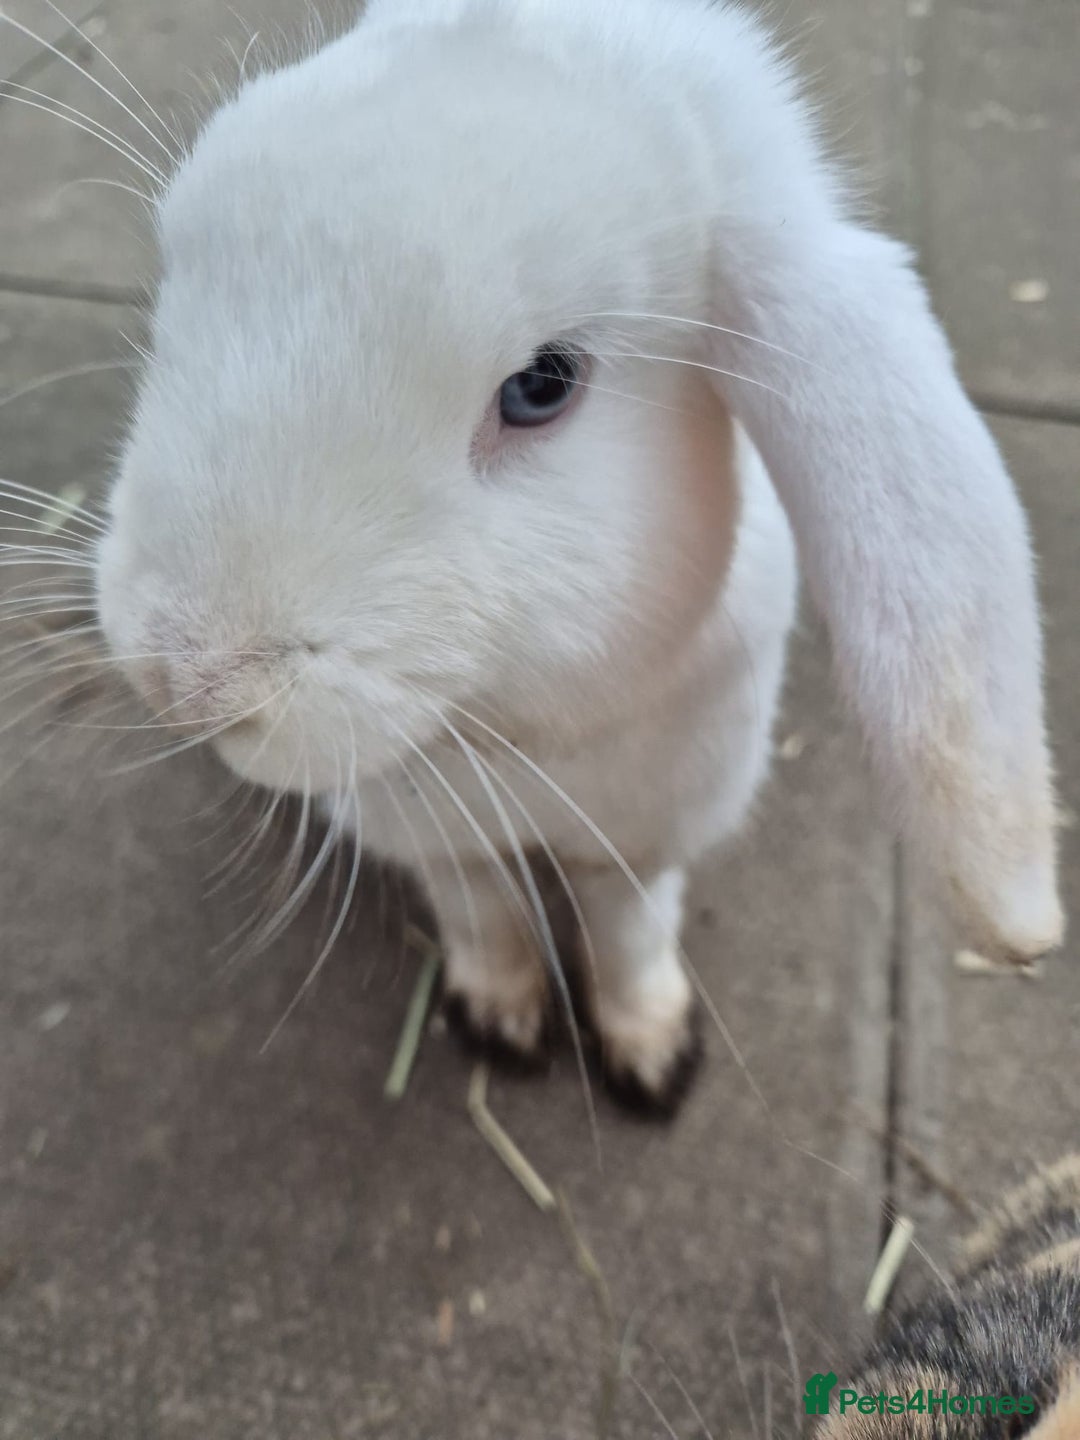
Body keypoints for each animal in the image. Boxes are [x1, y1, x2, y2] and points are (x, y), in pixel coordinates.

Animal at [94, 0, 1063, 1110]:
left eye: (541, 387)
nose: (187, 681)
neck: (510, 726)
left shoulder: (651, 830)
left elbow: (628, 926)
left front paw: (653, 1054)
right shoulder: (424, 830)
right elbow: (478, 904)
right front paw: (501, 1018)